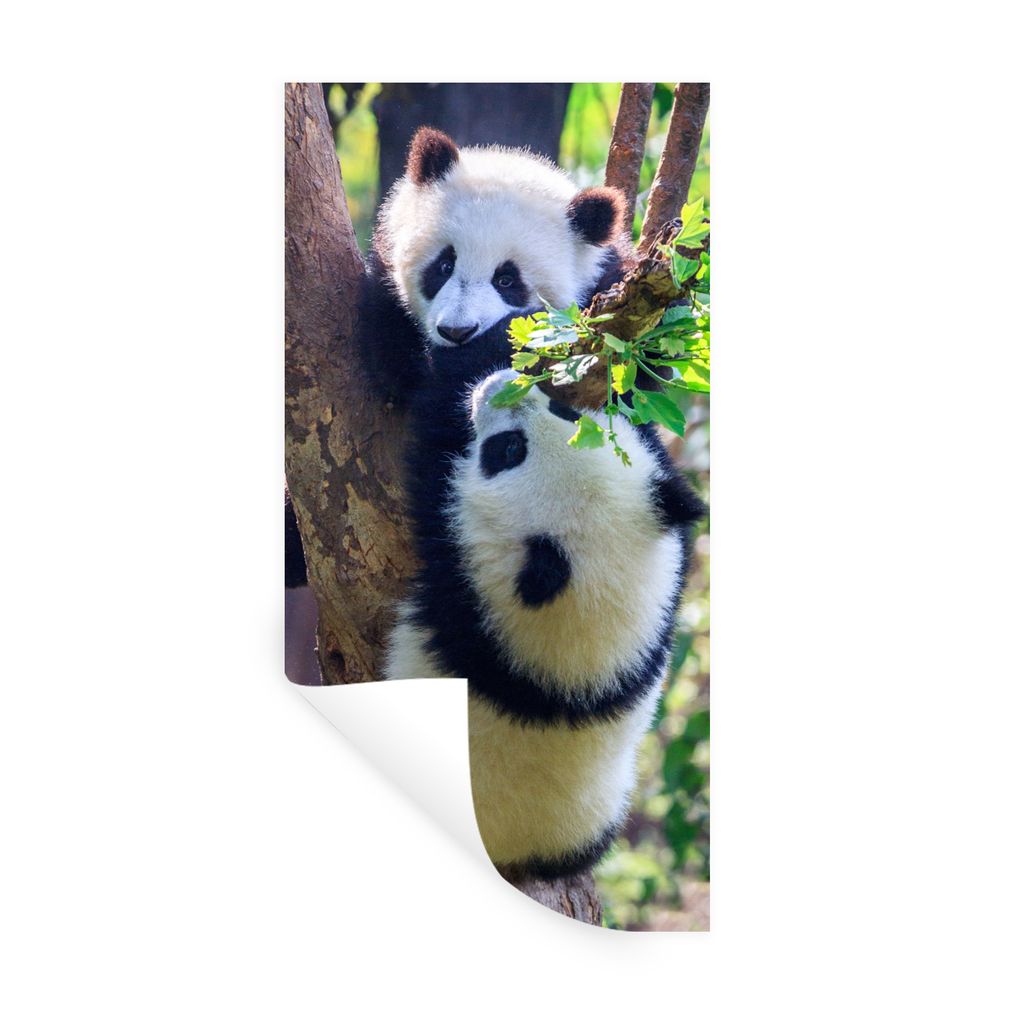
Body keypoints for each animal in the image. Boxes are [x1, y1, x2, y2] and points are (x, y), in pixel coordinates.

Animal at [386, 368, 706, 879]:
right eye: (569, 413)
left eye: (508, 451)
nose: (499, 384)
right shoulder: (667, 603)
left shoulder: (465, 583)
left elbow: (428, 447)